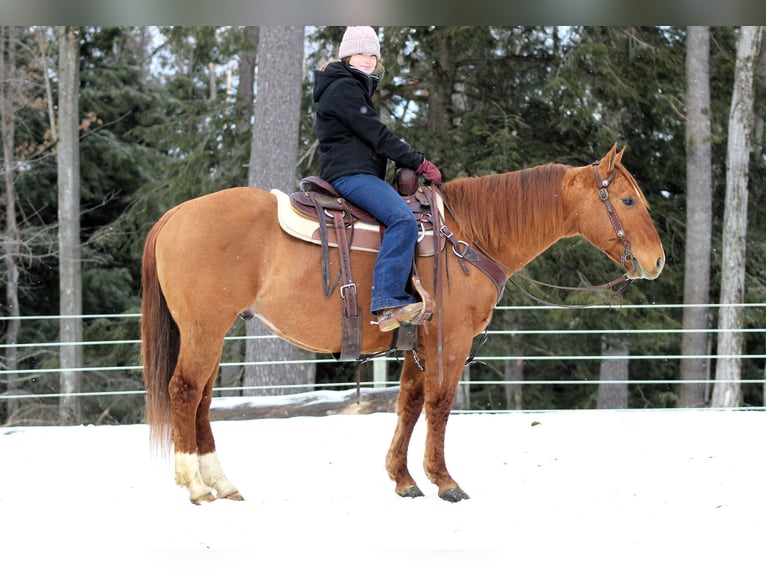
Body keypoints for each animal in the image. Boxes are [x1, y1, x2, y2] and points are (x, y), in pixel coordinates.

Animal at [142, 144, 664, 504]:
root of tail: (173, 216)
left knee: (203, 398)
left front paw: (404, 478)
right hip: (205, 330)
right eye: (628, 201)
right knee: (185, 390)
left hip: (213, 331)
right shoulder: (449, 340)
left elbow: (409, 405)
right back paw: (195, 486)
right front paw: (445, 480)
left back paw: (223, 484)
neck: (466, 237)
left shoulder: (418, 343)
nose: (656, 261)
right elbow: (439, 404)